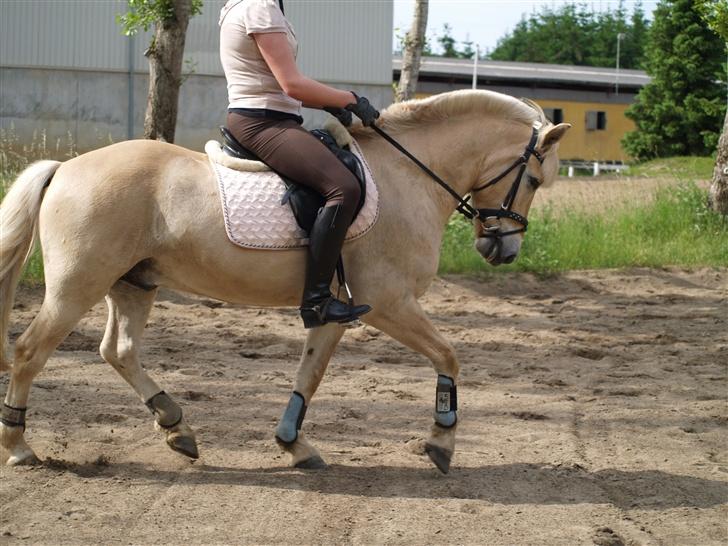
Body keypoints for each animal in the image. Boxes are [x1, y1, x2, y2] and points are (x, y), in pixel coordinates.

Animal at [0, 90, 568, 472]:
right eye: (533, 180)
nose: (501, 249)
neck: (408, 176)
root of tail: (65, 168)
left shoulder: (337, 310)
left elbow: (309, 374)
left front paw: (294, 443)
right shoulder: (390, 303)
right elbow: (448, 356)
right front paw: (441, 443)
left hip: (133, 283)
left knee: (117, 351)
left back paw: (176, 427)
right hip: (78, 286)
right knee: (30, 351)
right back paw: (21, 448)